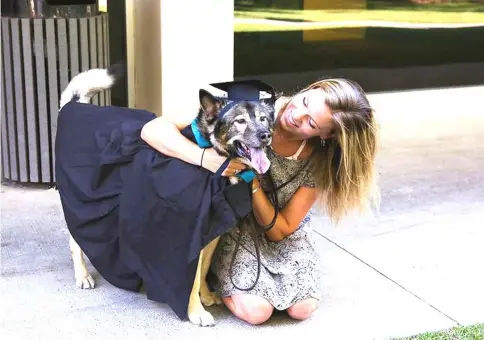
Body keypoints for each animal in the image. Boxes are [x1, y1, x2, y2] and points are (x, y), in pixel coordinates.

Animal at [57, 64, 272, 326]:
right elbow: (190, 277)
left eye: (263, 119)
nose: (266, 135)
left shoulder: (211, 233)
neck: (208, 150)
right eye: (240, 121)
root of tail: (73, 107)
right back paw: (82, 274)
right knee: (75, 235)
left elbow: (203, 268)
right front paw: (196, 312)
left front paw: (206, 296)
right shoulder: (187, 234)